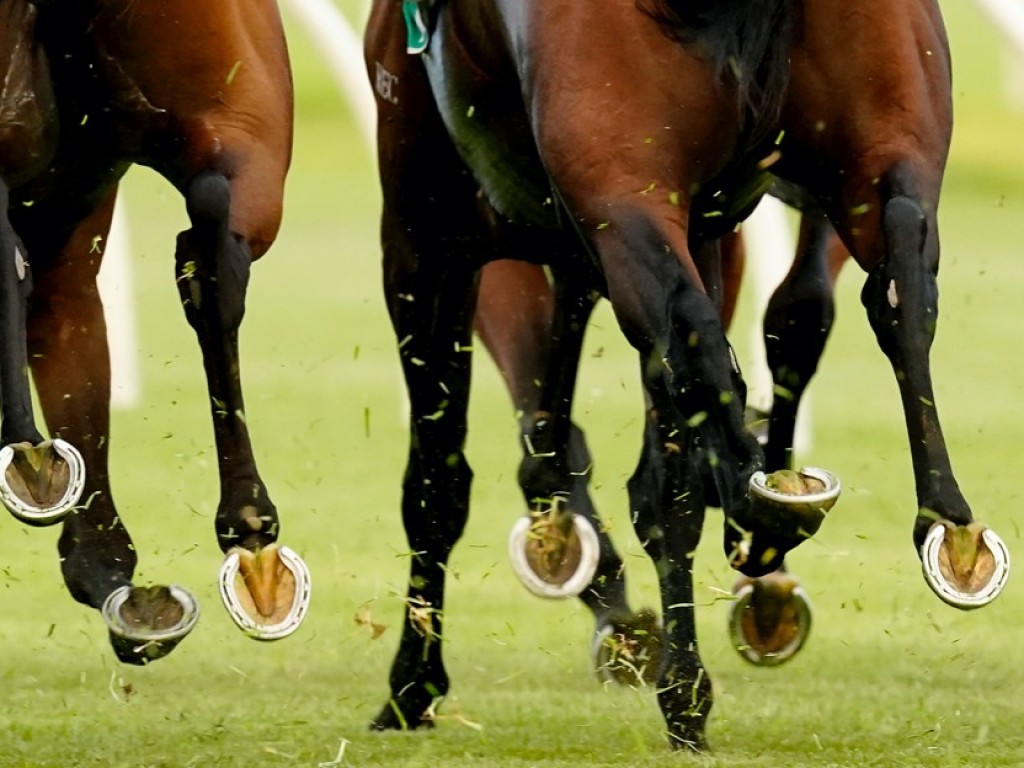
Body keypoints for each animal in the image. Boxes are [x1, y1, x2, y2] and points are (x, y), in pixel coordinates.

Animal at [366, 0, 1007, 753]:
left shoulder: (427, 229)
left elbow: (436, 482)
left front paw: (413, 684)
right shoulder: (696, 218)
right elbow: (662, 469)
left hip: (615, 180)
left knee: (695, 324)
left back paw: (765, 515)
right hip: (878, 146)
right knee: (899, 268)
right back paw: (937, 522)